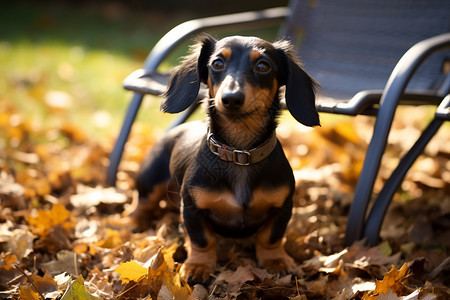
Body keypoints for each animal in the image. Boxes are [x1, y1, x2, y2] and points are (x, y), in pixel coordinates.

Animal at [136, 34, 320, 284]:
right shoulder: (191, 208)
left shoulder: (283, 207)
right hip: (151, 181)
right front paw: (198, 265)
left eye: (263, 66)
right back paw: (135, 223)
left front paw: (276, 260)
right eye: (217, 63)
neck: (239, 153)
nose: (231, 98)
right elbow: (202, 239)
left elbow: (270, 237)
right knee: (141, 204)